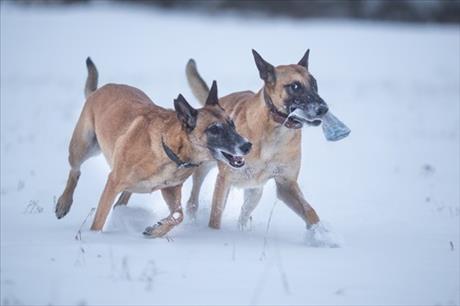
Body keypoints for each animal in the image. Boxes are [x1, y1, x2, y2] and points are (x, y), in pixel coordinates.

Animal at [57, 58, 253, 237]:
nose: (247, 145)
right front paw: (94, 237)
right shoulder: (113, 182)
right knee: (75, 170)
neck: (169, 149)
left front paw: (156, 230)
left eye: (232, 124)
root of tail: (99, 90)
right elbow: (99, 219)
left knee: (124, 194)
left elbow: (178, 214)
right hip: (84, 146)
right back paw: (63, 203)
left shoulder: (170, 189)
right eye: (214, 129)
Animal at [183, 49, 330, 239]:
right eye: (295, 86)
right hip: (204, 168)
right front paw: (214, 236)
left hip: (255, 191)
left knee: (244, 213)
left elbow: (309, 211)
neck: (275, 131)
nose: (323, 109)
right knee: (193, 200)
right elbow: (215, 216)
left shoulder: (286, 184)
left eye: (314, 84)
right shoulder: (224, 179)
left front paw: (324, 236)